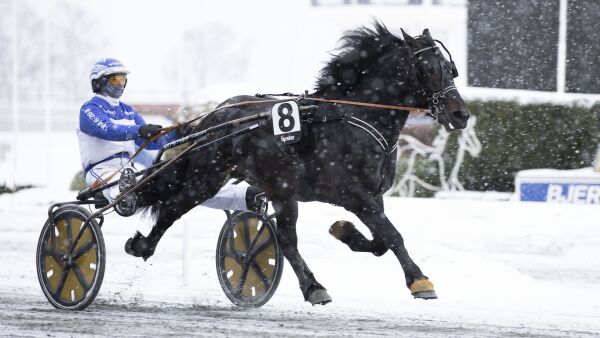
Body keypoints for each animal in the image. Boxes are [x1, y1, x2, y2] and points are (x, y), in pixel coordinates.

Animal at [126, 23, 472, 304]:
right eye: (429, 69)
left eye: (450, 68)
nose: (461, 114)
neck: (358, 118)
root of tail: (212, 116)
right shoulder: (353, 194)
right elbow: (392, 235)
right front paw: (420, 281)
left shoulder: (374, 196)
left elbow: (381, 241)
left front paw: (344, 231)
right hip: (209, 177)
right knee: (175, 206)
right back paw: (142, 246)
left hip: (279, 190)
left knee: (285, 239)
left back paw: (312, 286)